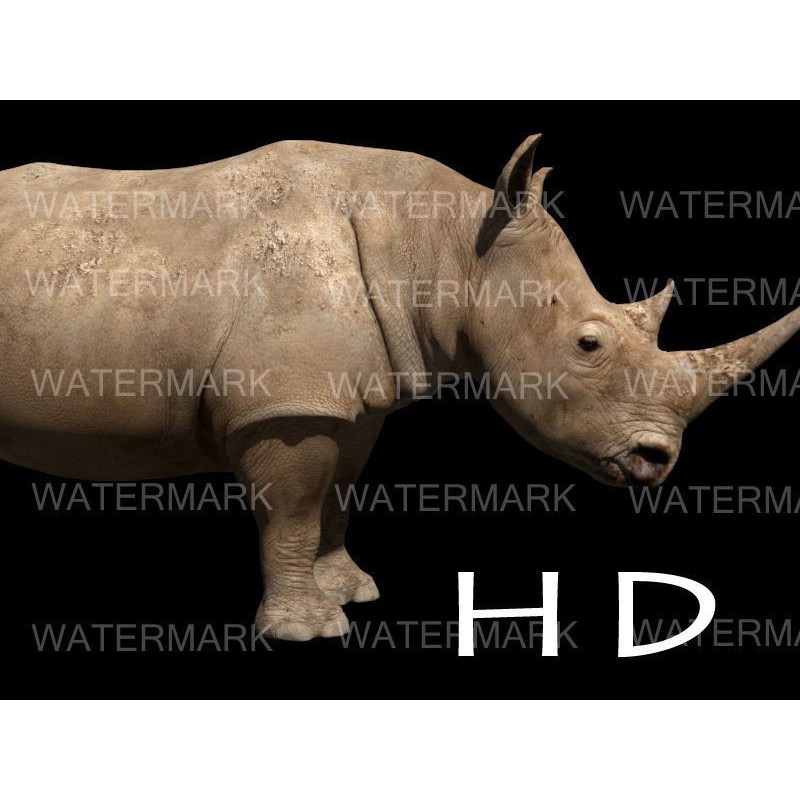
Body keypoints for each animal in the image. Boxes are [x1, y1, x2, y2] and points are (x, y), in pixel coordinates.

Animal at [1, 135, 797, 641]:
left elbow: (337, 496)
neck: (448, 241)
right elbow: (294, 511)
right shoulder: (288, 402)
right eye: (588, 344)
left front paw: (352, 592)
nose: (657, 461)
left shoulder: (353, 395)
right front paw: (308, 631)